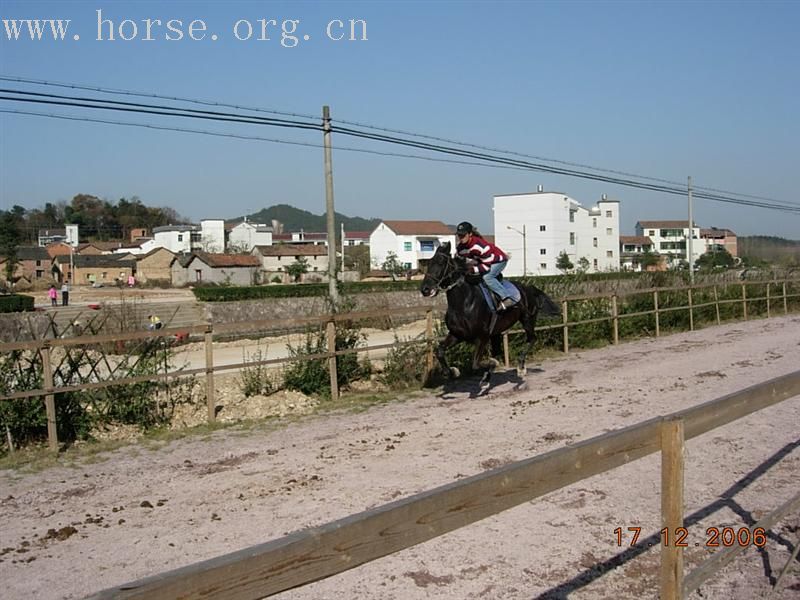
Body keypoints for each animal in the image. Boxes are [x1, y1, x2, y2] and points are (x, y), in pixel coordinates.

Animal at [418, 241, 564, 392]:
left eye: (441, 262)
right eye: (428, 263)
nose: (425, 289)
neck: (464, 303)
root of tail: (529, 288)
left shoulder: (482, 337)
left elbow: (476, 363)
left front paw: (493, 364)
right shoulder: (457, 335)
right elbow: (440, 351)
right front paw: (452, 371)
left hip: (527, 320)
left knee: (531, 339)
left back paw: (520, 368)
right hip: (497, 331)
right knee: (501, 349)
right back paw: (487, 378)